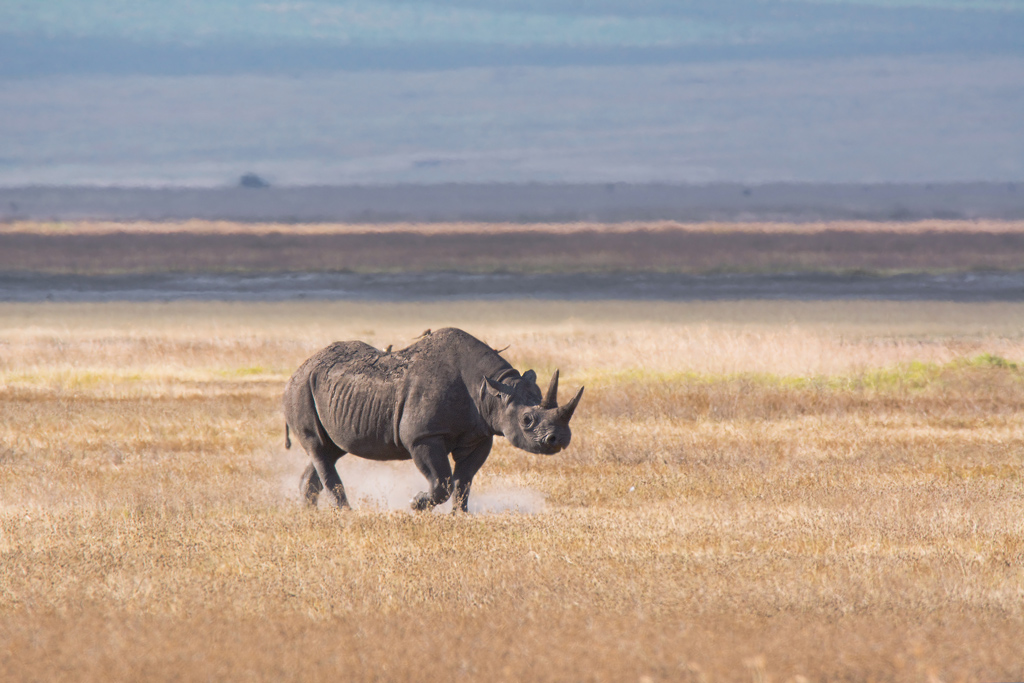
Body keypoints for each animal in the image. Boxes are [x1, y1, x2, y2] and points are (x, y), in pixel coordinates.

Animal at [283, 327, 583, 512]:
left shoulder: (480, 435)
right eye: (527, 420)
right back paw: (347, 513)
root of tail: (298, 368)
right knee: (320, 449)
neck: (494, 391)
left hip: (322, 390)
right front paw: (415, 503)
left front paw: (460, 517)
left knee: (330, 450)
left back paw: (312, 512)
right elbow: (442, 481)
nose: (560, 439)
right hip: (300, 389)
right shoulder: (423, 436)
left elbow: (464, 480)